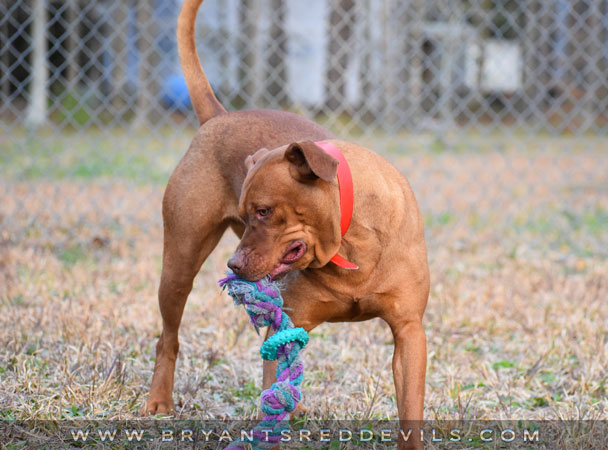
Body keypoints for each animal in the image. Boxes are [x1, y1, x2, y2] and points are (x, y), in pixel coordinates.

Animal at [144, 0, 428, 446]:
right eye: (245, 216)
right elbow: (272, 388)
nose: (233, 266)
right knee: (167, 338)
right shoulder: (286, 326)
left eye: (262, 211)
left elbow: (410, 410)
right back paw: (159, 400)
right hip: (178, 266)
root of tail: (219, 117)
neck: (351, 245)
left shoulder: (409, 332)